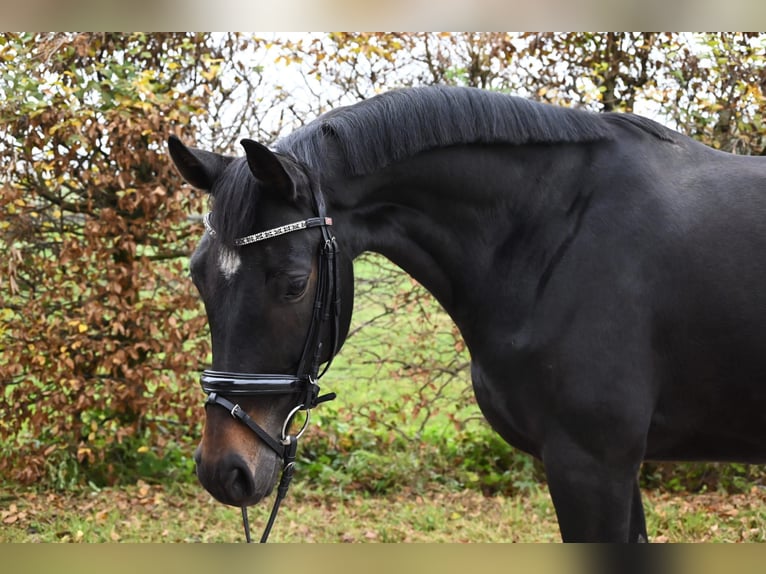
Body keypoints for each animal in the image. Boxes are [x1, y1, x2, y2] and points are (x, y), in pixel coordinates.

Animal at [168, 86, 766, 544]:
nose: (223, 470)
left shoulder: (594, 465)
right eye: (198, 275)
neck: (557, 235)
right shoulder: (613, 468)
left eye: (293, 284)